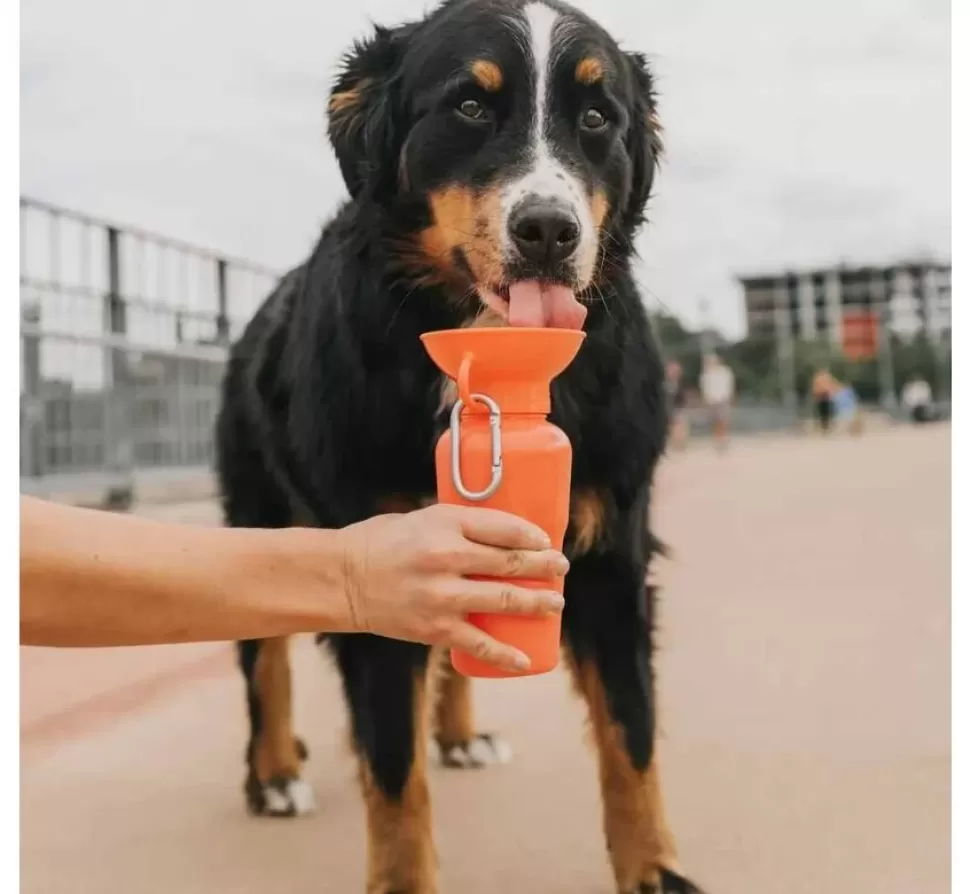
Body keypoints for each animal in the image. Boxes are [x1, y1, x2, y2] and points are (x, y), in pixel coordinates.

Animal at [216, 1, 704, 894]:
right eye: (470, 106)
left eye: (596, 118)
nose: (547, 230)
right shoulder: (372, 561)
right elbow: (392, 772)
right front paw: (402, 879)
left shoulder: (611, 557)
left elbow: (632, 739)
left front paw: (655, 870)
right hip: (260, 518)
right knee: (263, 661)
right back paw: (272, 774)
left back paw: (457, 733)